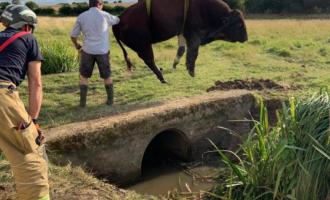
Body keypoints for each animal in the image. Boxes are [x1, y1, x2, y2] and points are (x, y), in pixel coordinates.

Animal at [112, 0, 246, 83]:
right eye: (239, 24)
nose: (245, 38)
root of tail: (119, 20)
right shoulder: (193, 34)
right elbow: (193, 52)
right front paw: (191, 72)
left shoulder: (182, 34)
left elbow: (183, 50)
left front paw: (180, 66)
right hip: (144, 46)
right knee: (149, 60)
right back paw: (163, 78)